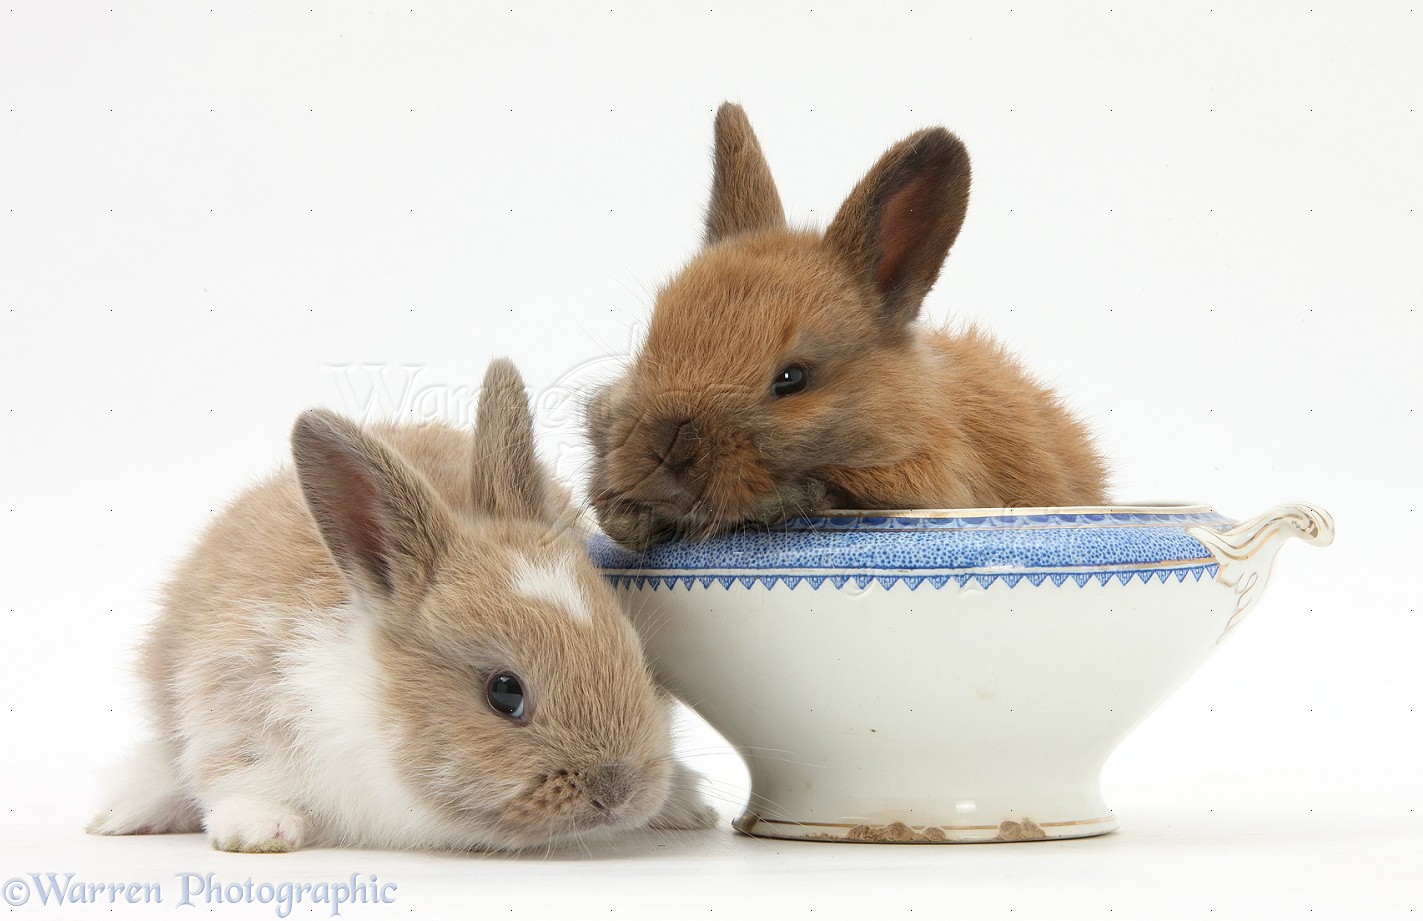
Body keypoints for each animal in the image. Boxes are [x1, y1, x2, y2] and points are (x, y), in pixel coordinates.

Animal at [87, 359, 715, 853]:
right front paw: (260, 831)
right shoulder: (232, 694)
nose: (618, 790)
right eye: (504, 692)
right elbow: (232, 772)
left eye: (639, 658)